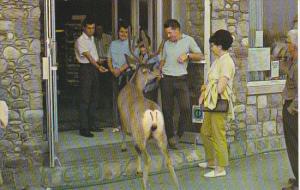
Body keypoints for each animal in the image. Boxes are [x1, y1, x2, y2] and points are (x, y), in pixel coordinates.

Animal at [117, 28, 180, 190]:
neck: (134, 86)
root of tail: (152, 112)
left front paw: (124, 149)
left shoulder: (125, 120)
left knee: (148, 158)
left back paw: (145, 184)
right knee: (168, 159)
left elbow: (125, 135)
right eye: (151, 70)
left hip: (141, 133)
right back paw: (177, 185)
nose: (160, 72)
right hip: (161, 133)